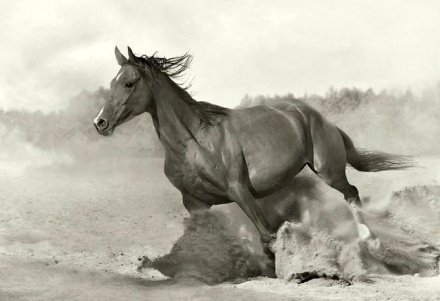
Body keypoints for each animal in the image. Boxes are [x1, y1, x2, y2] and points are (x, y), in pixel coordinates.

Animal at [93, 46, 412, 255]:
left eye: (129, 82)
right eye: (111, 82)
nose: (100, 123)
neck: (194, 142)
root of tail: (321, 119)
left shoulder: (239, 190)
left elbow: (267, 235)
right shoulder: (195, 203)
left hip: (329, 170)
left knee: (352, 194)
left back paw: (370, 241)